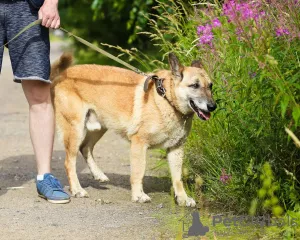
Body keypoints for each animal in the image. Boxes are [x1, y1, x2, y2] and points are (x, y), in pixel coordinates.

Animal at [50, 52, 217, 206]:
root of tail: (62, 75)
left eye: (210, 86)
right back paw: (77, 189)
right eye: (194, 85)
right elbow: (138, 173)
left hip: (99, 128)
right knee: (69, 162)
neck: (166, 99)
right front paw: (138, 195)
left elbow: (177, 178)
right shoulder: (139, 144)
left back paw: (98, 174)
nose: (213, 106)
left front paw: (182, 198)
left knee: (85, 148)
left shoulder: (176, 149)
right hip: (76, 130)